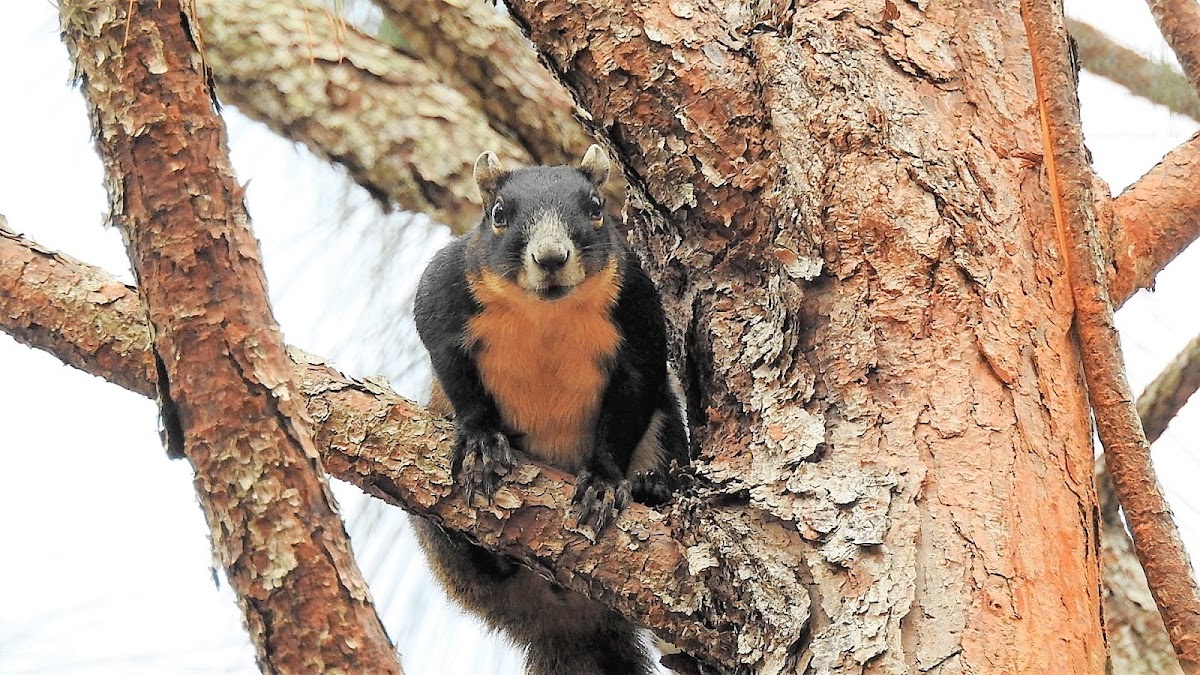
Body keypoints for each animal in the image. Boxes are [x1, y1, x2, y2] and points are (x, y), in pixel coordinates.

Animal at [410, 145, 686, 672]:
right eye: (498, 215)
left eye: (596, 208)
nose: (551, 257)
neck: (546, 314)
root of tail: (566, 619)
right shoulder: (443, 287)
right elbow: (452, 369)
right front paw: (481, 443)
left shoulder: (640, 315)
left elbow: (630, 403)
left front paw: (603, 483)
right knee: (479, 569)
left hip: (664, 426)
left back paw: (653, 486)